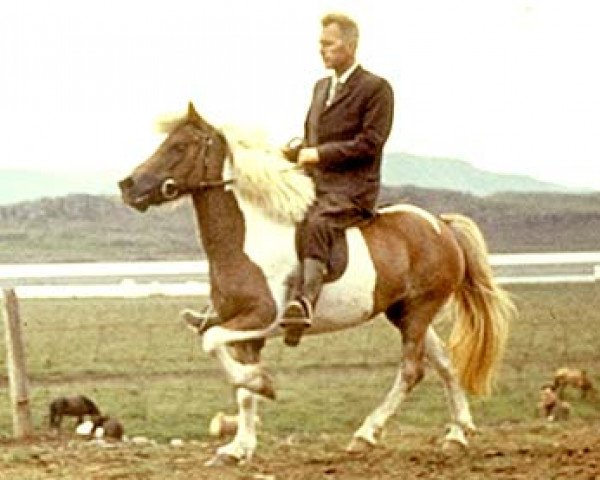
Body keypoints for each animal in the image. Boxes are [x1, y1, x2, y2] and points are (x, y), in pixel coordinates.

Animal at [118, 103, 516, 466]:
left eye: (179, 146)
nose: (127, 185)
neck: (247, 237)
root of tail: (441, 224)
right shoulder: (247, 333)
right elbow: (240, 390)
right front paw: (238, 448)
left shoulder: (261, 318)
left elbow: (213, 344)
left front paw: (264, 384)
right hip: (403, 313)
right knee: (444, 363)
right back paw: (457, 435)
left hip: (419, 310)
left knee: (411, 370)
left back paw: (366, 435)